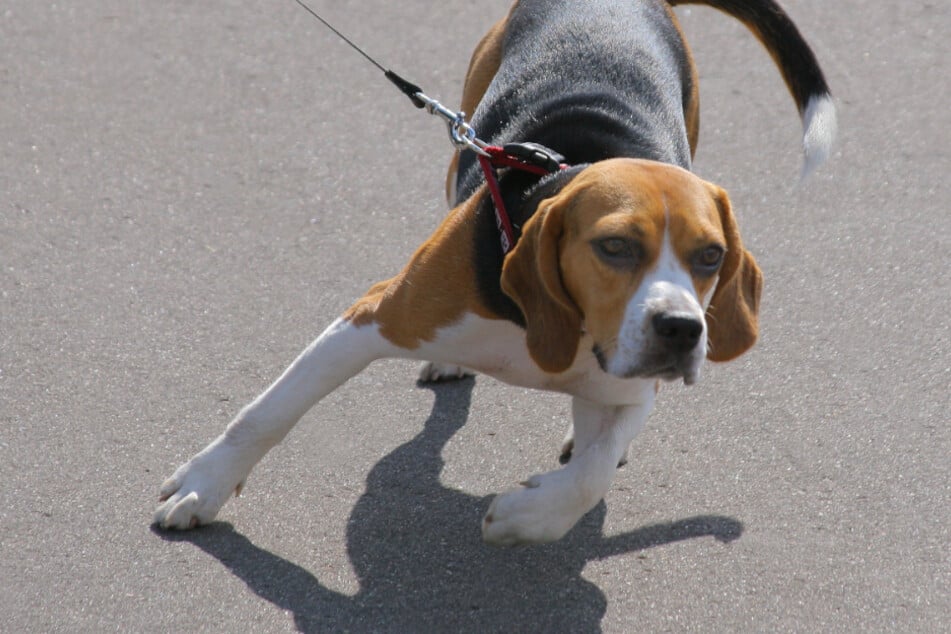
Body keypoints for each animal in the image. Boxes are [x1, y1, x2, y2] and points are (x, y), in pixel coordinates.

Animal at [154, 0, 832, 544]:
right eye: (614, 247)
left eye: (711, 256)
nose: (682, 331)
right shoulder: (371, 316)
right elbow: (266, 413)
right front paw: (204, 484)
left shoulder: (634, 390)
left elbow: (591, 473)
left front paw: (529, 515)